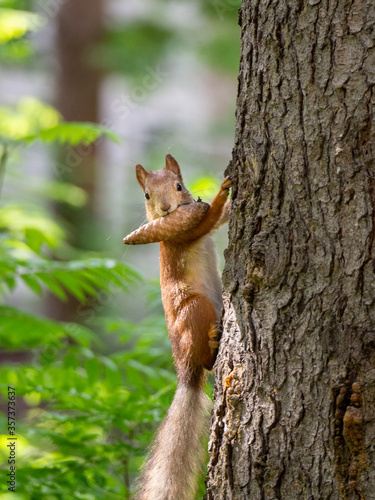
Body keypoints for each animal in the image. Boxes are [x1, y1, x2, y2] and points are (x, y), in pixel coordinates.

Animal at [122, 154, 232, 498]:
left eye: (179, 185)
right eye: (147, 195)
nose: (167, 209)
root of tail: (185, 372)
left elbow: (219, 220)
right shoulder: (180, 234)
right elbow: (209, 220)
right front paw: (224, 189)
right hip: (196, 308)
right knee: (206, 361)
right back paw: (213, 341)